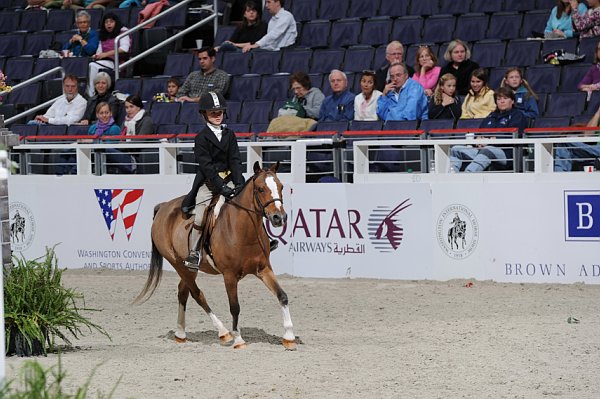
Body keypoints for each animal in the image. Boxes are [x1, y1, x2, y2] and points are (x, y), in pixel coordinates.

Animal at [135, 162, 296, 350]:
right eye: (260, 189)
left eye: (281, 186)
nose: (279, 218)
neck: (244, 230)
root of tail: (163, 207)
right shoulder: (229, 276)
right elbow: (235, 307)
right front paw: (238, 339)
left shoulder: (264, 269)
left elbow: (282, 296)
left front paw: (289, 337)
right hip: (178, 264)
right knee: (197, 294)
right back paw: (223, 332)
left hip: (189, 269)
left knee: (183, 292)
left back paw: (181, 334)